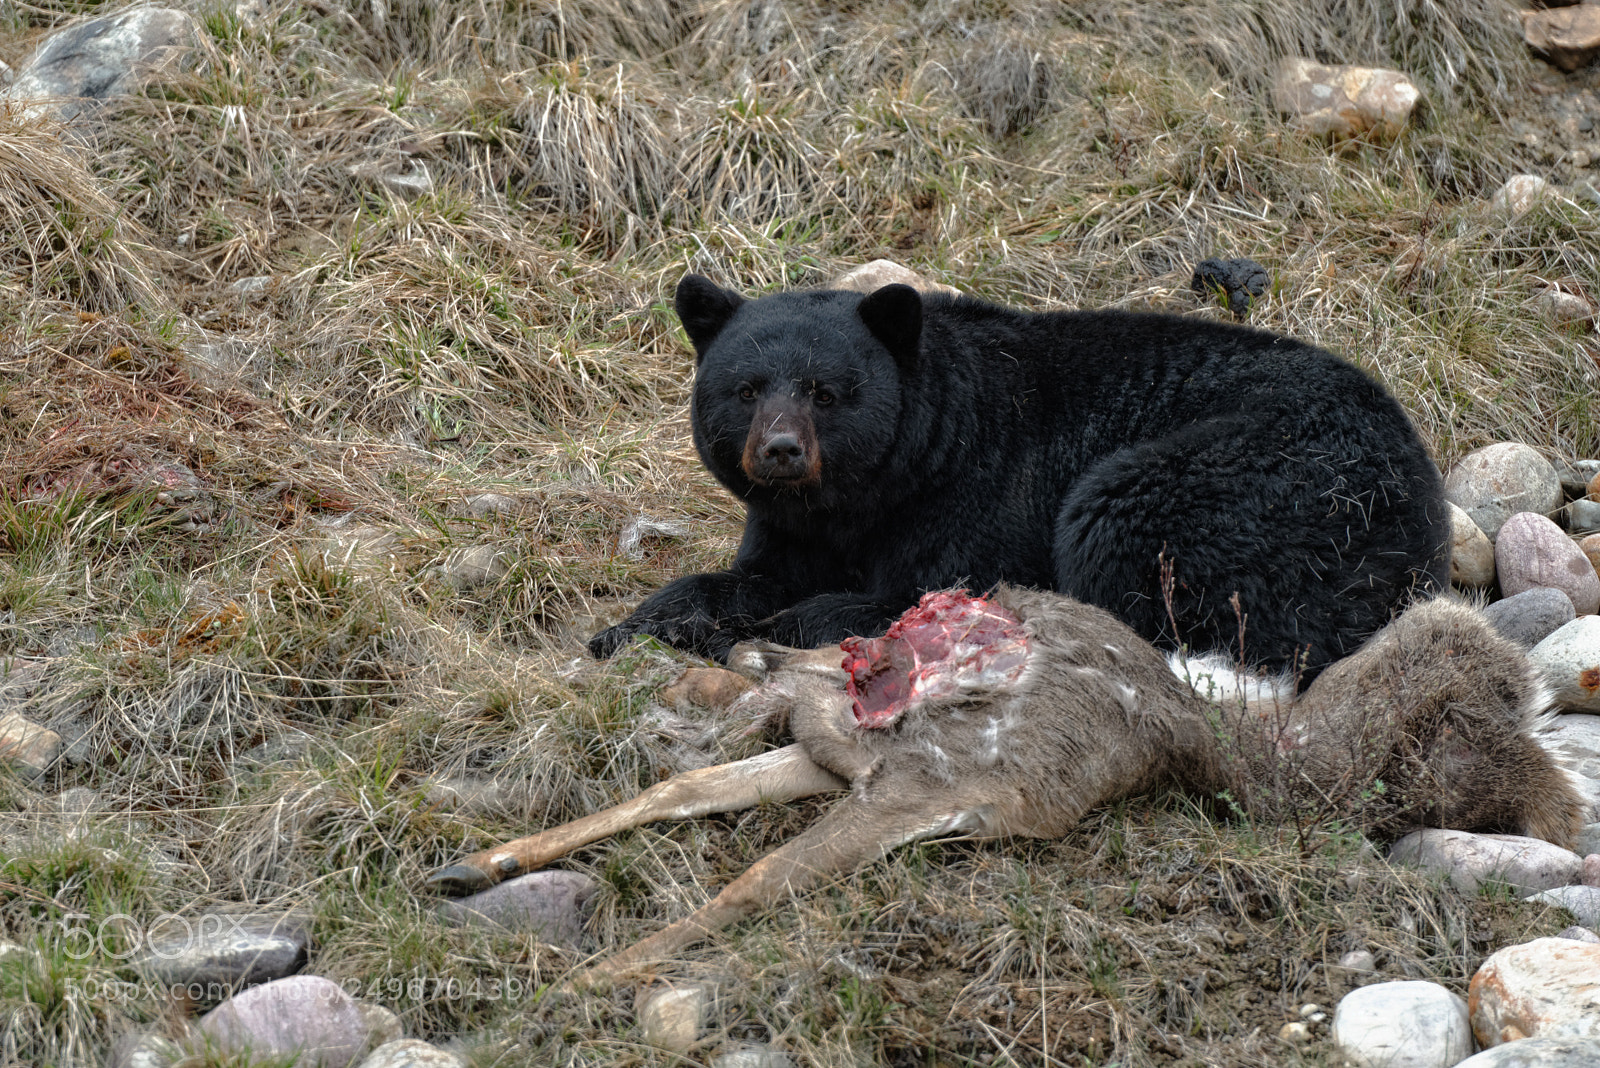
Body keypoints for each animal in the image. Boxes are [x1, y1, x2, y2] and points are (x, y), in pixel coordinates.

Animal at [588, 274, 1451, 685]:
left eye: (826, 393)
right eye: (745, 389)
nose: (780, 451)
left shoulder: (979, 489)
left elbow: (925, 586)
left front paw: (780, 627)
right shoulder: (795, 525)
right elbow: (750, 576)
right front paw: (627, 629)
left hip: (1257, 485)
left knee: (1122, 531)